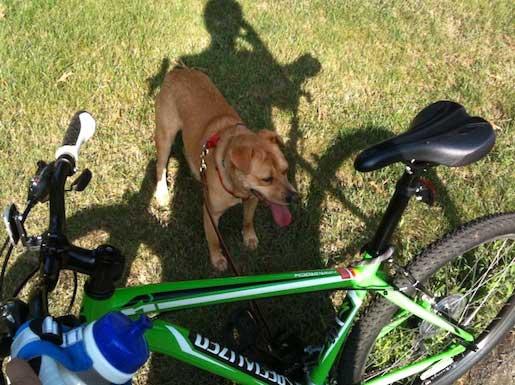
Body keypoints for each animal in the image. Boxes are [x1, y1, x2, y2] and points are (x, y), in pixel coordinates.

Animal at [155, 67, 296, 270]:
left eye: (285, 171)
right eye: (267, 179)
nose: (294, 197)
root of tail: (178, 70)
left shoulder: (252, 198)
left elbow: (248, 220)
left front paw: (249, 237)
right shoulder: (210, 214)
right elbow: (214, 240)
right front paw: (218, 259)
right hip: (165, 136)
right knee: (160, 165)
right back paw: (162, 193)